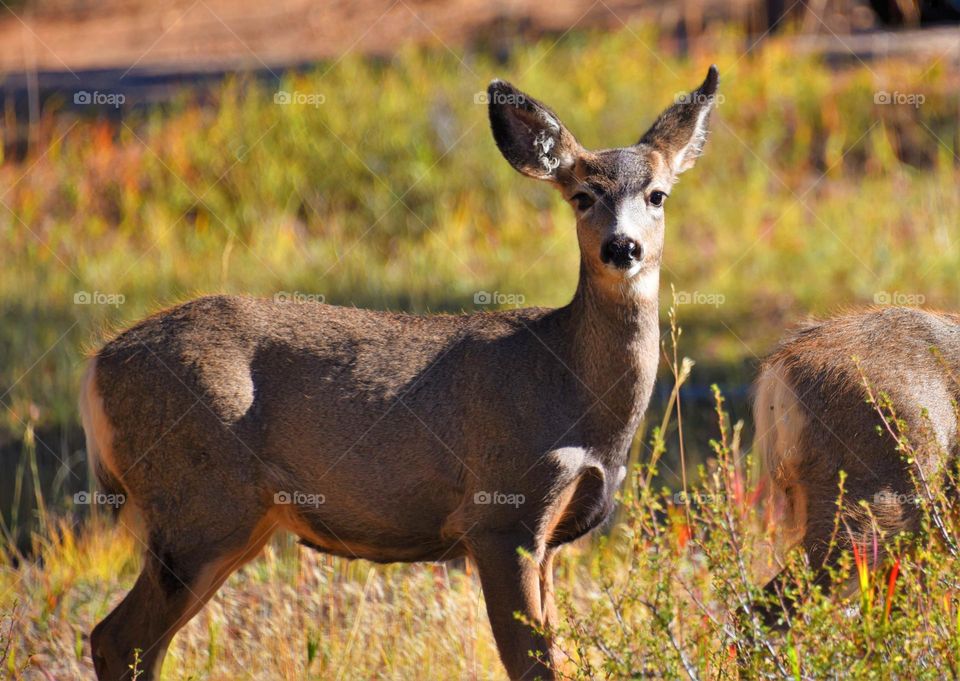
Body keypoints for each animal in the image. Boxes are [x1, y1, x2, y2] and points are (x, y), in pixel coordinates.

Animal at [80, 66, 719, 681]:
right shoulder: (500, 514)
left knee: (130, 641)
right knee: (117, 637)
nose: (623, 247)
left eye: (658, 195)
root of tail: (96, 367)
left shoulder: (552, 537)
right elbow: (533, 666)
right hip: (200, 502)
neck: (573, 394)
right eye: (582, 196)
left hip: (232, 519)